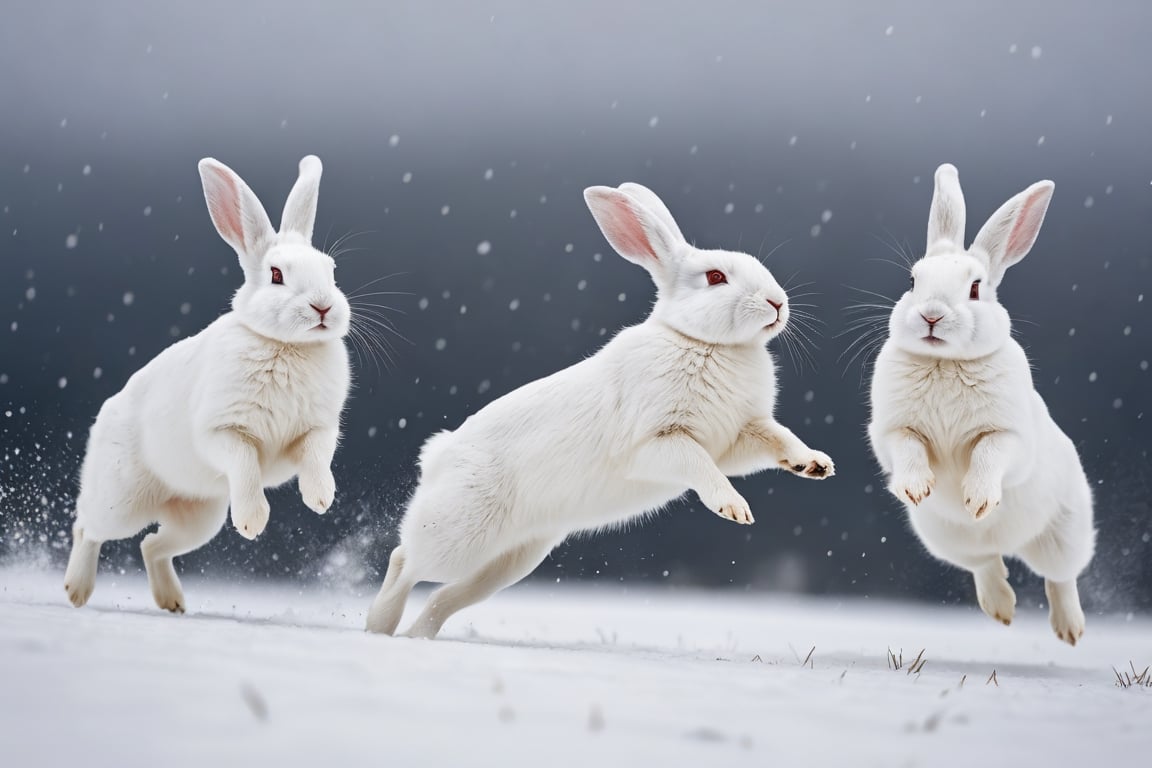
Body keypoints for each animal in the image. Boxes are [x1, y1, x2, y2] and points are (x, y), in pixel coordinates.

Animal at [62, 154, 347, 612]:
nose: (323, 307)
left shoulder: (316, 431)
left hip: (201, 518)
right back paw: (76, 590)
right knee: (87, 528)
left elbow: (317, 458)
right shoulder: (223, 432)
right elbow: (245, 463)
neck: (285, 345)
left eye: (332, 272)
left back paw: (173, 603)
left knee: (151, 546)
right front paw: (252, 524)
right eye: (276, 275)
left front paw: (321, 499)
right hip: (119, 503)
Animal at [364, 183, 834, 640]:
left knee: (446, 596)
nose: (777, 303)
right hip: (459, 533)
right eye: (715, 277)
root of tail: (438, 456)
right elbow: (699, 465)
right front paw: (734, 509)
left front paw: (815, 465)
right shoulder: (656, 443)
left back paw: (415, 636)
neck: (704, 343)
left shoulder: (739, 437)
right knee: (405, 561)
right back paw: (379, 627)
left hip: (516, 556)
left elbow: (778, 439)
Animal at [866, 165, 1092, 644]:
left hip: (1065, 533)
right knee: (987, 564)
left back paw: (1070, 630)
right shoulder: (894, 431)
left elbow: (989, 453)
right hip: (947, 541)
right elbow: (909, 449)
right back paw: (1002, 610)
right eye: (913, 281)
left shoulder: (1009, 436)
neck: (945, 361)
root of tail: (1011, 543)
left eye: (974, 288)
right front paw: (917, 487)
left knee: (1060, 577)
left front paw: (978, 499)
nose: (931, 315)